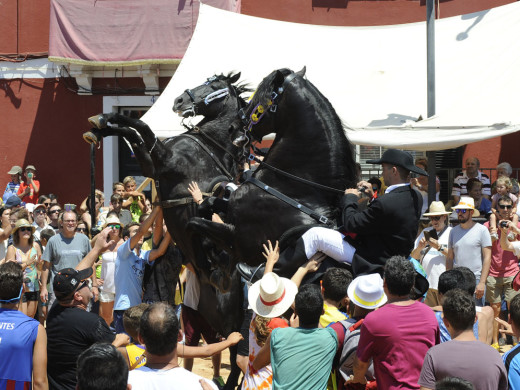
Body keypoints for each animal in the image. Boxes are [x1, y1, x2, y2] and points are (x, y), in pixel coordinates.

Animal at [83, 72, 250, 386]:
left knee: (238, 358)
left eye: (214, 84)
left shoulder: (162, 158)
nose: (179, 100)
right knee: (232, 357)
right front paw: (100, 125)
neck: (207, 148)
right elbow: (133, 135)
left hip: (232, 318)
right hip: (212, 318)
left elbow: (141, 129)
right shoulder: (151, 164)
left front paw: (102, 120)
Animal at [189, 68, 360, 278]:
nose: (232, 127)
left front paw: (207, 259)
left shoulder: (238, 240)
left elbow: (194, 223)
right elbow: (207, 204)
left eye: (259, 99)